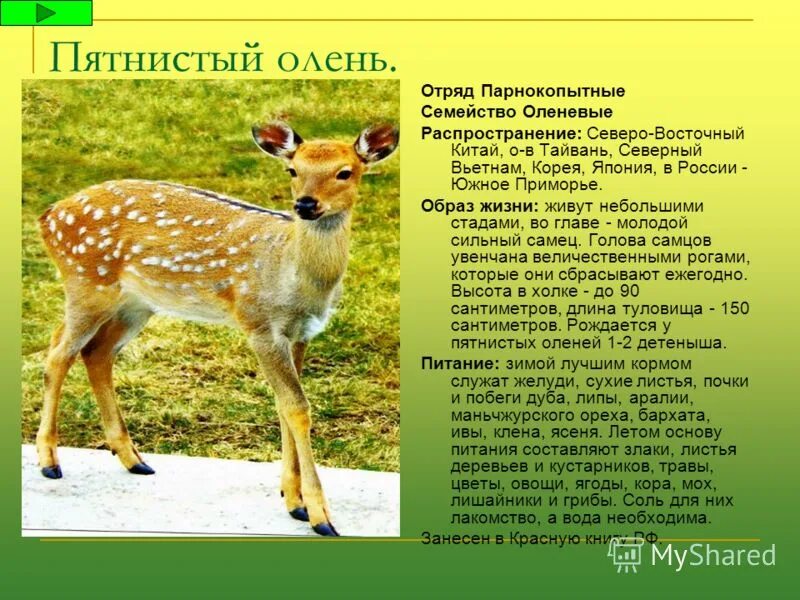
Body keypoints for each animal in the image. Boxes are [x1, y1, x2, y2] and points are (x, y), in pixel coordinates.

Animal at [35, 121, 399, 536]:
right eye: (293, 170)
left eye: (345, 172)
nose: (306, 205)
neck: (295, 276)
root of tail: (47, 216)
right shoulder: (259, 323)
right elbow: (297, 408)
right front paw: (320, 516)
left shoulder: (301, 333)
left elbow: (284, 406)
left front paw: (293, 501)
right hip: (85, 283)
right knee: (58, 353)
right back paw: (49, 462)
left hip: (135, 304)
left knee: (95, 352)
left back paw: (133, 458)